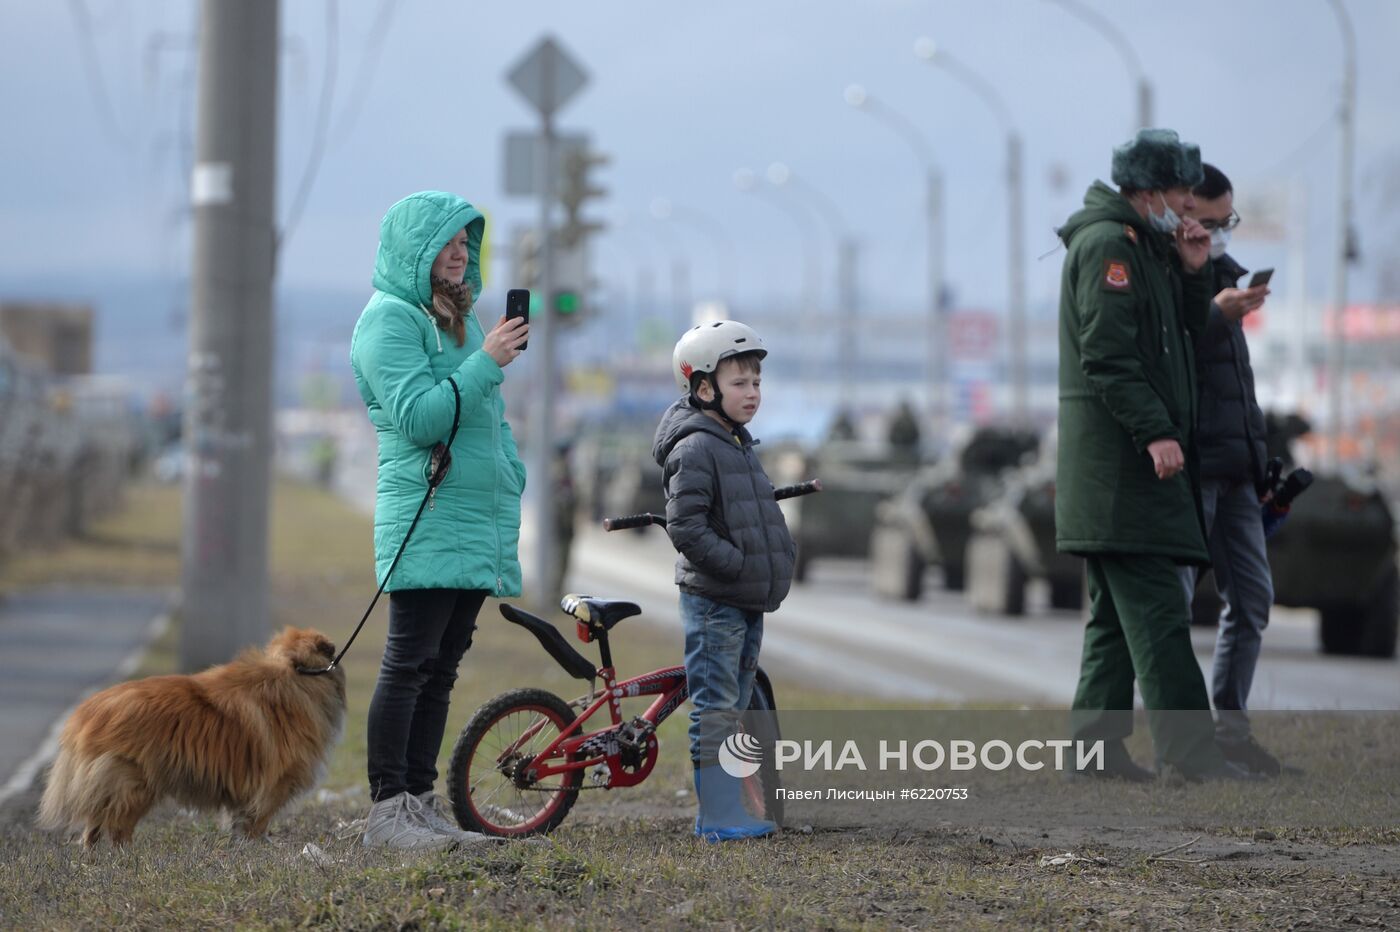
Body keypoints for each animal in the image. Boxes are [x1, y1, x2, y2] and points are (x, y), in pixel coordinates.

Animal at [37, 624, 347, 839]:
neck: (296, 671)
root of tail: (83, 714)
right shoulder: (272, 788)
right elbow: (256, 825)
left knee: (93, 833)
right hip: (134, 786)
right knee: (115, 831)